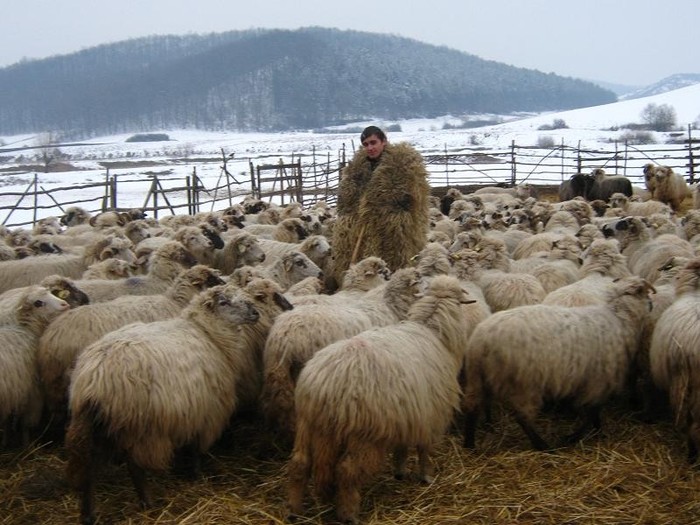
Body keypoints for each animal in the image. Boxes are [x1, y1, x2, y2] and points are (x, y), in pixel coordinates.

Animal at [286, 274, 476, 524]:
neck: (433, 331)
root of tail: (325, 386)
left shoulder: (409, 414)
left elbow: (403, 447)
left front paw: (400, 472)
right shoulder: (431, 415)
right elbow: (424, 449)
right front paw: (426, 476)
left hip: (307, 424)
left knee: (299, 464)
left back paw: (294, 510)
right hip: (364, 435)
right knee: (347, 472)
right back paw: (349, 514)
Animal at [462, 274, 652, 450]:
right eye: (645, 293)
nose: (651, 306)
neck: (620, 317)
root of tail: (481, 339)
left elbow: (593, 411)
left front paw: (596, 431)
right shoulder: (598, 380)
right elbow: (592, 411)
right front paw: (575, 436)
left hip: (478, 376)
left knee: (472, 406)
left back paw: (470, 444)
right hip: (524, 383)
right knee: (522, 417)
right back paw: (543, 446)